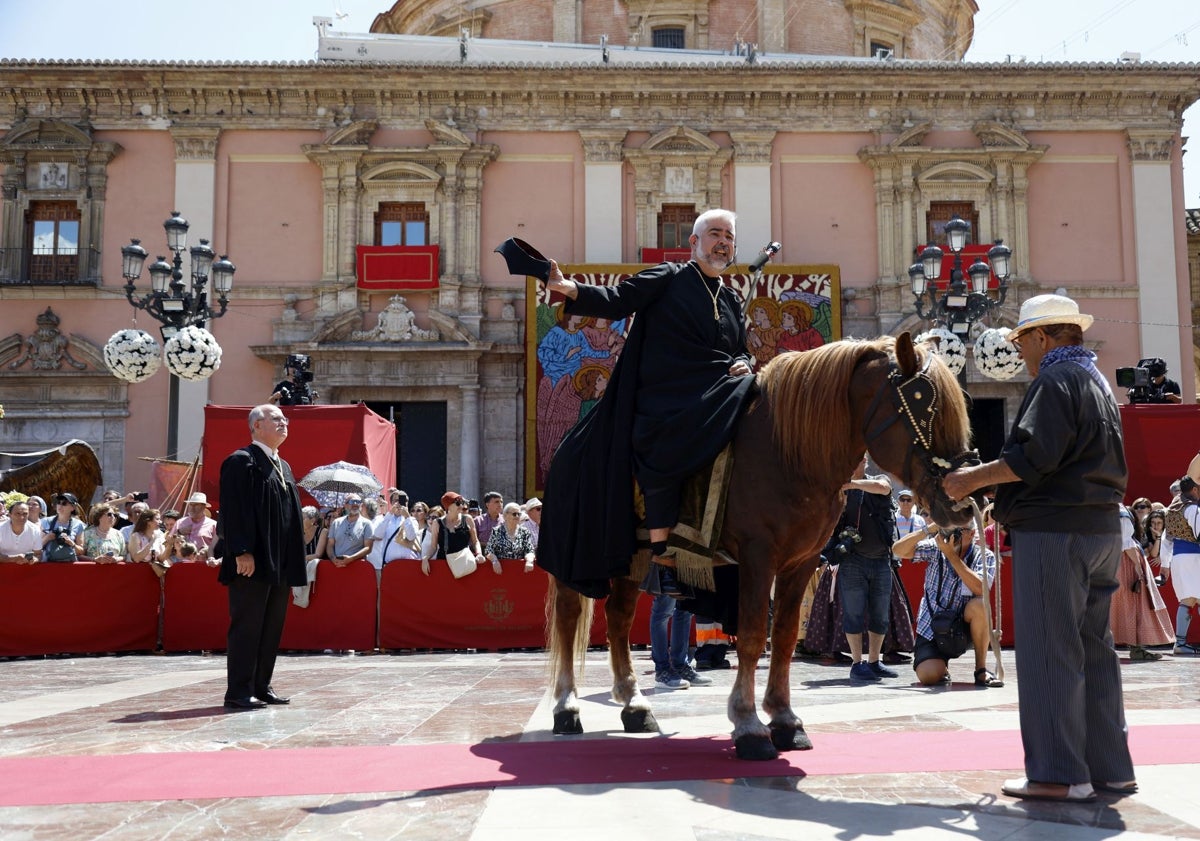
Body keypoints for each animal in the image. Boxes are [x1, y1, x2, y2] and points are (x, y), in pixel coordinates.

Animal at [549, 333, 979, 763]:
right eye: (923, 404)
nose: (961, 502)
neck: (790, 453)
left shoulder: (801, 561)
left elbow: (784, 636)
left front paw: (785, 719)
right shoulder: (758, 557)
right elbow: (754, 635)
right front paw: (749, 724)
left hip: (634, 557)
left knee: (619, 617)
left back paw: (634, 705)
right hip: (582, 555)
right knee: (570, 618)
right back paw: (567, 707)